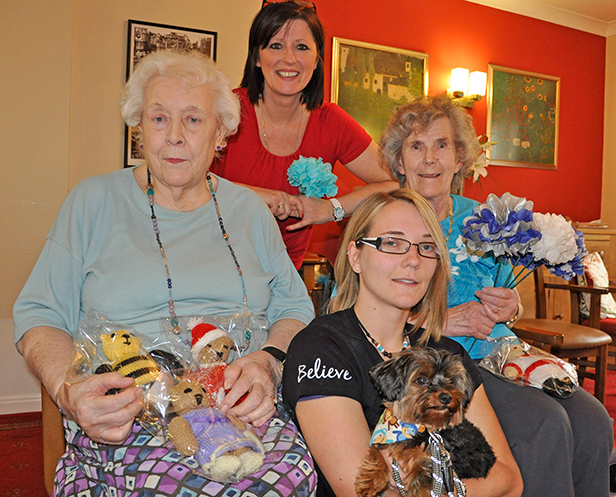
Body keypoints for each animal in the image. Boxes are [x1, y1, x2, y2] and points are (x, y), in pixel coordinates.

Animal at [356, 346, 496, 496]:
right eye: (421, 380)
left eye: (451, 380)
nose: (446, 397)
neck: (420, 427)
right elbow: (377, 450)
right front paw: (370, 479)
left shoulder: (431, 467)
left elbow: (421, 488)